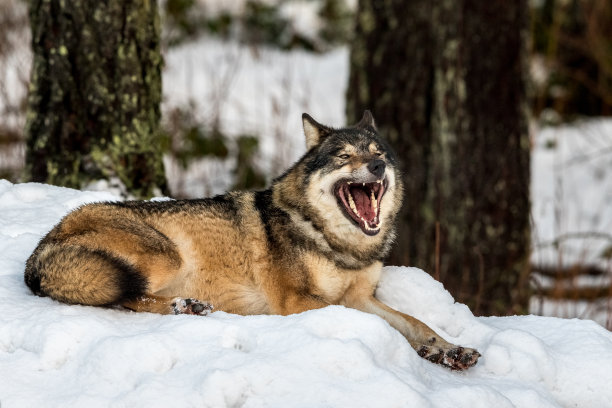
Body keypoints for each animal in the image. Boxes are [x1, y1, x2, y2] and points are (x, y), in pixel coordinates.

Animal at [23, 111, 480, 370]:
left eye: (377, 152)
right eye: (344, 156)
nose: (378, 166)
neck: (340, 245)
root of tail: (38, 254)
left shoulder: (359, 296)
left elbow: (416, 323)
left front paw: (450, 350)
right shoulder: (299, 301)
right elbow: (384, 326)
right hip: (163, 256)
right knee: (126, 297)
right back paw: (185, 307)